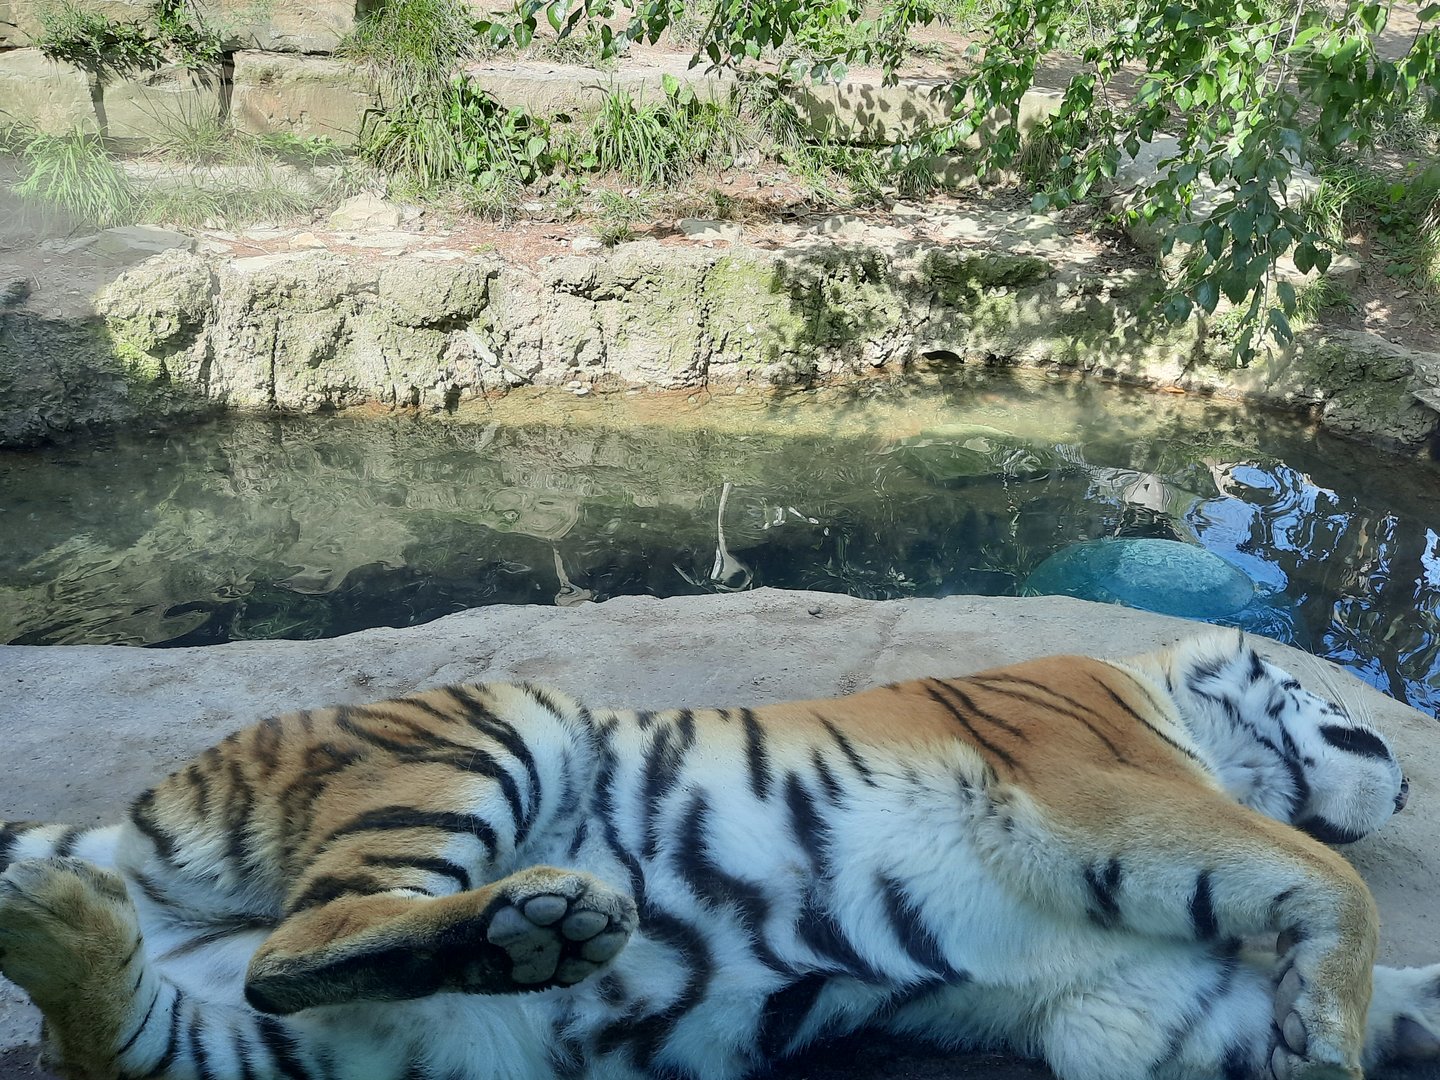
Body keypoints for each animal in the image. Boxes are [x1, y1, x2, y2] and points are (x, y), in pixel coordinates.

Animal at [1, 630, 1437, 1080]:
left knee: (117, 1036)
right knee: (302, 938)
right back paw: (550, 915)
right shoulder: (1094, 783)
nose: (1416, 772)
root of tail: (127, 841)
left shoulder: (1132, 1004)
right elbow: (1336, 881)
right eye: (1347, 703)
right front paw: (1332, 1027)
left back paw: (57, 922)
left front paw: (1332, 1027)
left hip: (334, 1052)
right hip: (498, 721)